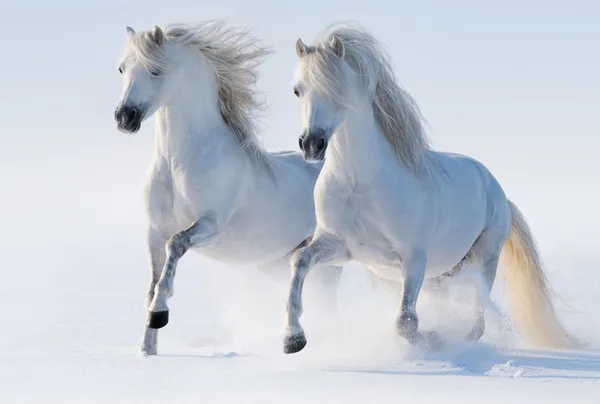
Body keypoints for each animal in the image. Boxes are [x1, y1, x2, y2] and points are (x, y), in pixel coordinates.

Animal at [114, 21, 340, 356]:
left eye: (155, 70)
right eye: (122, 68)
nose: (124, 118)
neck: (178, 164)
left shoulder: (211, 225)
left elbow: (176, 247)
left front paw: (160, 315)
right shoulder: (154, 232)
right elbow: (152, 285)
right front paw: (147, 349)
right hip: (276, 262)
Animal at [284, 22, 580, 354]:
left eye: (338, 88)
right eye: (297, 90)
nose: (312, 144)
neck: (360, 184)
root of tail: (497, 190)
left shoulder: (414, 258)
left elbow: (406, 323)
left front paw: (433, 339)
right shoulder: (340, 246)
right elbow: (300, 260)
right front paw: (293, 339)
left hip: (484, 257)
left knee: (477, 319)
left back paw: (461, 341)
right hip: (445, 273)